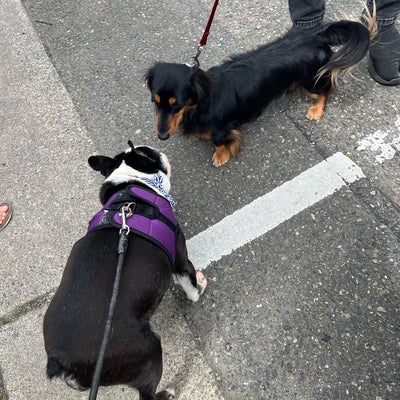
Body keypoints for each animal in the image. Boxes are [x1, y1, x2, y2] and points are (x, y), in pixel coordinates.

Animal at [43, 142, 206, 400]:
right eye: (150, 152)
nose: (161, 149)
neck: (133, 187)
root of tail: (60, 362)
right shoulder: (179, 258)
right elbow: (189, 283)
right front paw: (199, 289)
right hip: (148, 351)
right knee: (147, 393)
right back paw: (167, 393)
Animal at [147, 18, 376, 166]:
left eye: (177, 104)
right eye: (155, 101)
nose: (161, 137)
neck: (200, 104)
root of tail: (314, 36)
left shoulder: (223, 129)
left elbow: (220, 142)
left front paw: (221, 155)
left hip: (310, 82)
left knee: (327, 91)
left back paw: (316, 110)